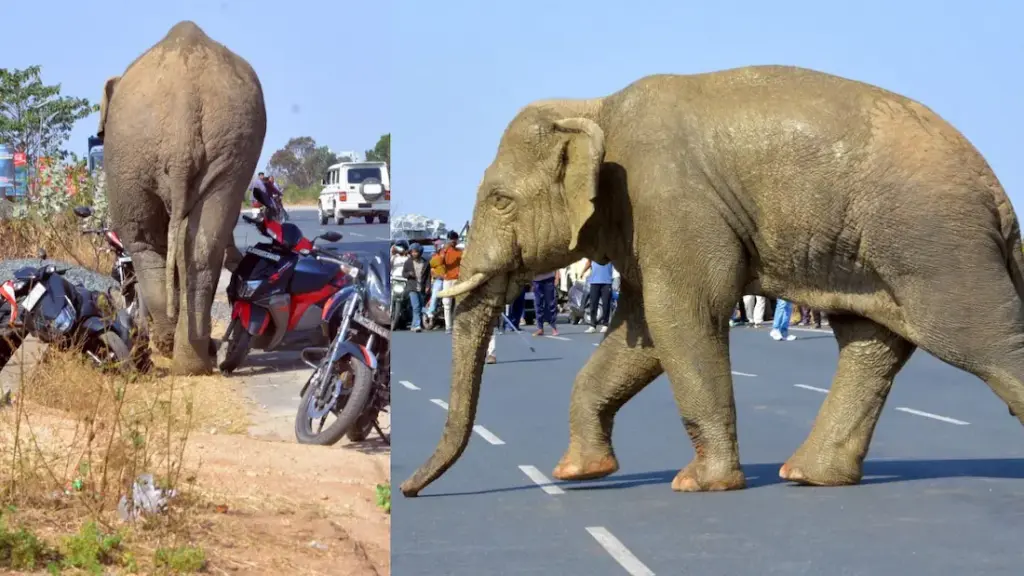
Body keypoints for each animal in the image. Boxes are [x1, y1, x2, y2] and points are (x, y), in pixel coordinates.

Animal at [98, 21, 267, 375]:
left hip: (132, 156)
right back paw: (193, 361)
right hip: (227, 146)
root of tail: (183, 106)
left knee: (144, 242)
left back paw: (172, 350)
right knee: (199, 243)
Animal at [400, 64, 1024, 497]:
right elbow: (643, 332)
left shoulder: (669, 202)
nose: (408, 490)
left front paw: (700, 484)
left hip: (935, 245)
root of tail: (998, 193)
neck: (596, 105)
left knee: (978, 341)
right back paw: (807, 475)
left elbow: (683, 314)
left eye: (500, 200)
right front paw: (580, 471)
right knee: (870, 343)